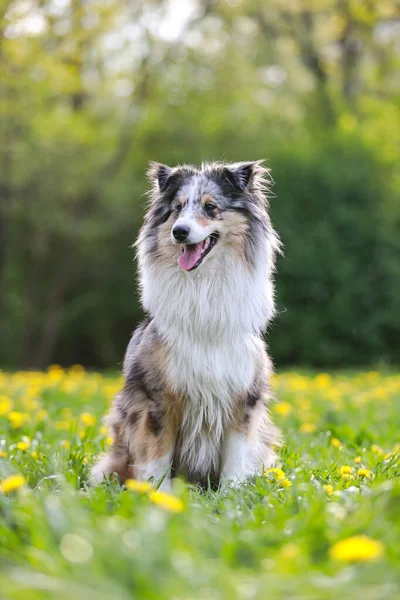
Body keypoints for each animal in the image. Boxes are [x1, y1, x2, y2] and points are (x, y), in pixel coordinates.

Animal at [92, 162, 282, 490]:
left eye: (210, 207)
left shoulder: (242, 394)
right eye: (177, 209)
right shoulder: (158, 398)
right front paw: (159, 493)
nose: (179, 232)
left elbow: (235, 454)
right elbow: (158, 453)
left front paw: (231, 494)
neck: (203, 283)